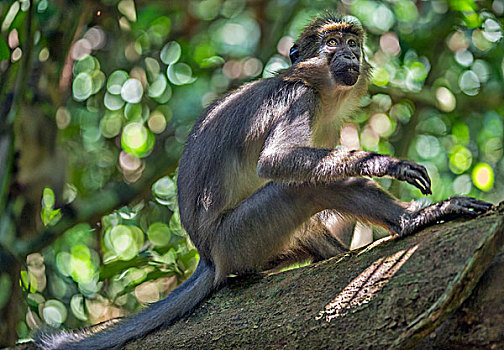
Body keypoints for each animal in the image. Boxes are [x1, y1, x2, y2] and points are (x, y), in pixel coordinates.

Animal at [37, 14, 494, 350]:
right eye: (332, 43)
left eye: (352, 42)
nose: (349, 52)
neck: (318, 88)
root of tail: (209, 256)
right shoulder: (299, 100)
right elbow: (279, 161)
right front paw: (386, 164)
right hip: (241, 238)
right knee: (306, 187)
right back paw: (414, 220)